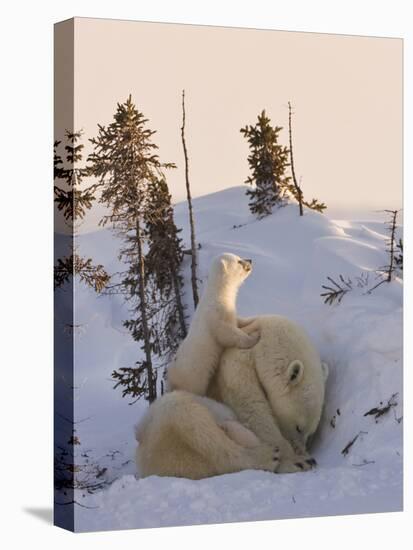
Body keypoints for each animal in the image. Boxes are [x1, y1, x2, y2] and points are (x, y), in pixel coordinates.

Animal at [166, 254, 260, 396]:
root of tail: (171, 381)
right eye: (238, 261)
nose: (250, 260)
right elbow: (227, 333)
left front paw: (250, 320)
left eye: (239, 256)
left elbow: (237, 321)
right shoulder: (215, 315)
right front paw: (254, 337)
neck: (217, 295)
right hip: (193, 379)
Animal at [206, 316, 328, 476]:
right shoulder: (236, 366)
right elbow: (253, 410)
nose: (301, 450)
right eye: (298, 428)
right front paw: (298, 461)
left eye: (311, 432)